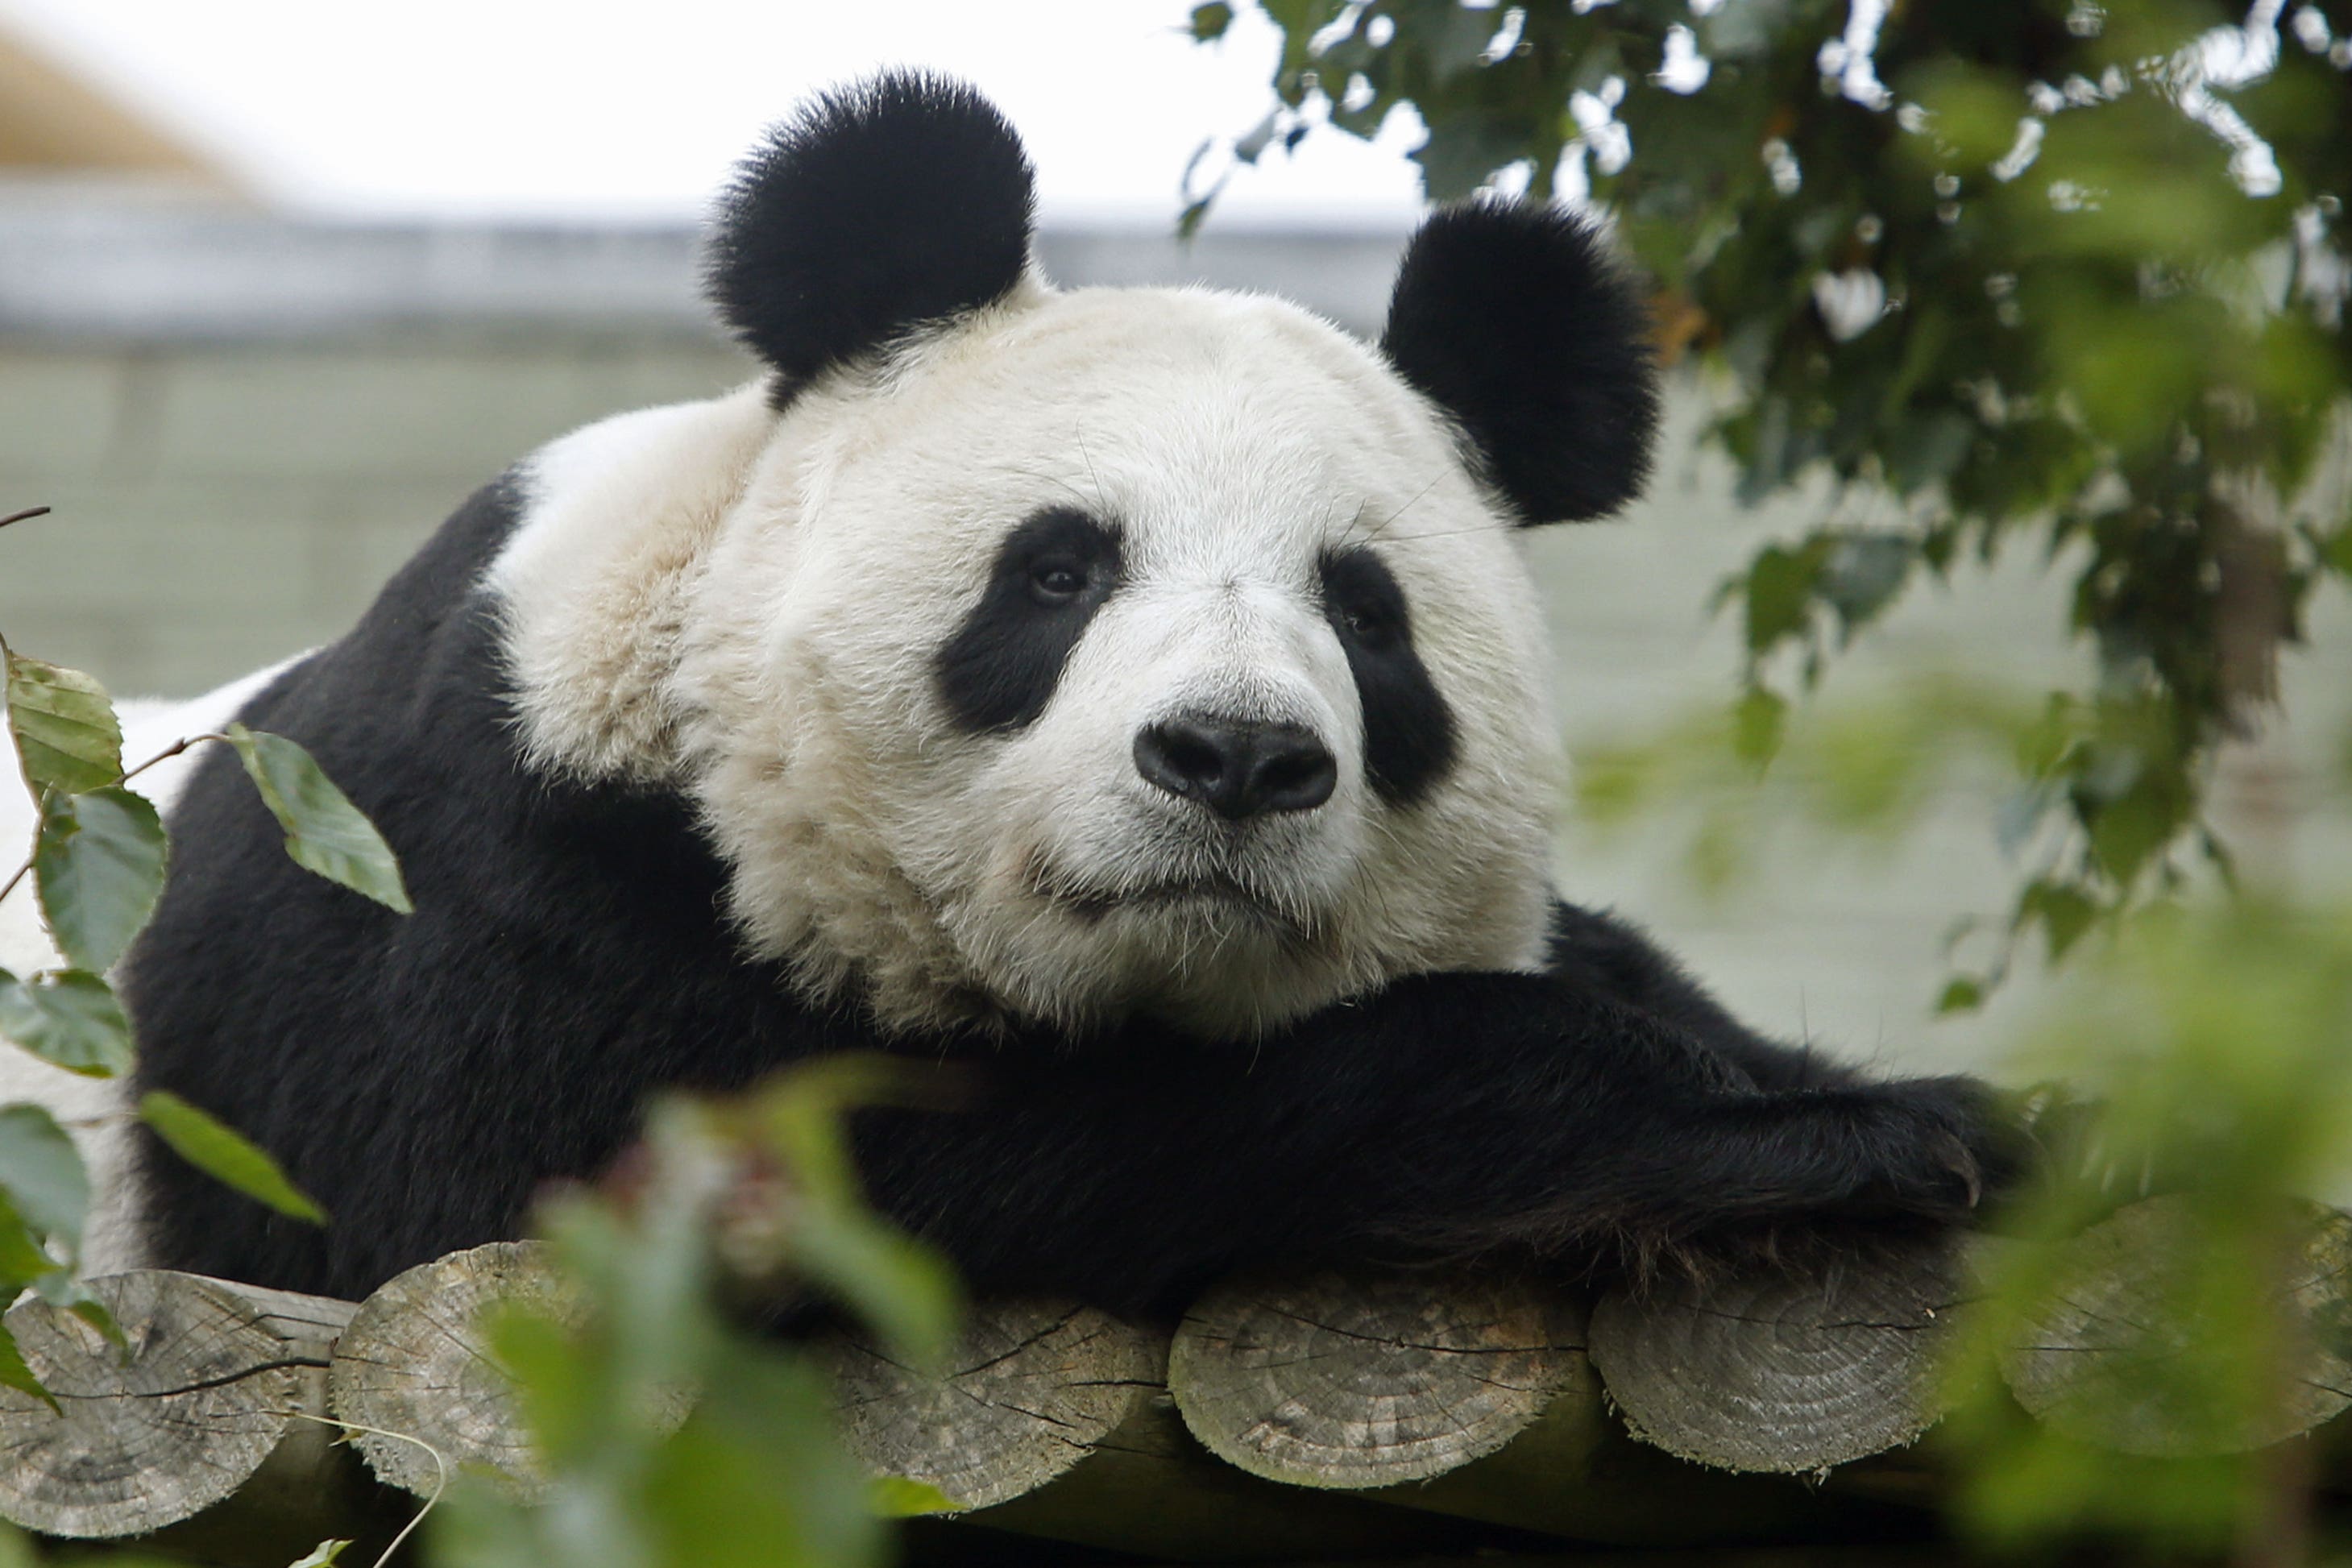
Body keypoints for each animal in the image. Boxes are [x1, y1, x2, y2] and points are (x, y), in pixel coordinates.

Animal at [0, 80, 2022, 1316]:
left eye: (1365, 616)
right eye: (1057, 573)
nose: (1236, 757)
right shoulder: (475, 903)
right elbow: (844, 1182)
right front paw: (1795, 1139)